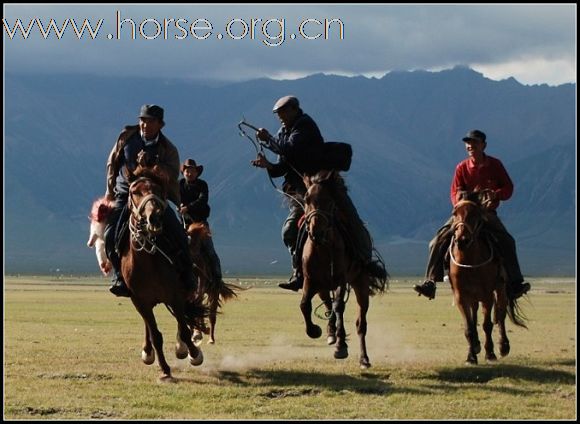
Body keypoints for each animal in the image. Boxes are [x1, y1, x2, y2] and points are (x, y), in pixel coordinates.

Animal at [119, 164, 205, 380]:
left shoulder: (176, 295)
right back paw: (148, 352)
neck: (148, 264)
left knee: (182, 322)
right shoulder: (140, 301)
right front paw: (165, 369)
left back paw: (183, 347)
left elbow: (184, 329)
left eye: (159, 190)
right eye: (134, 192)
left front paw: (193, 353)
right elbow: (155, 334)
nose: (155, 217)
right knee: (149, 327)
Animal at [300, 169, 390, 368]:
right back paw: (331, 333)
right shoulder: (311, 280)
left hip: (359, 283)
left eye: (330, 201)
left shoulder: (341, 279)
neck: (323, 249)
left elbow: (339, 307)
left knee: (360, 323)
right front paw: (315, 330)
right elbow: (304, 305)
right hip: (323, 286)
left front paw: (341, 346)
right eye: (306, 199)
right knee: (328, 304)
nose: (316, 231)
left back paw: (364, 358)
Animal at [446, 195, 528, 364]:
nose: (462, 240)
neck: (469, 262)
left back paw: (503, 346)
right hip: (473, 297)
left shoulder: (487, 295)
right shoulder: (461, 297)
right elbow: (469, 327)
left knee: (501, 315)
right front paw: (471, 355)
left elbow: (487, 324)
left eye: (475, 215)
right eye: (454, 213)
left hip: (500, 289)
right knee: (476, 315)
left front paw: (490, 353)